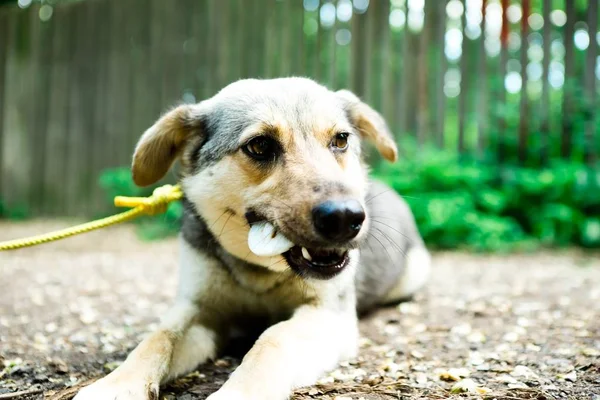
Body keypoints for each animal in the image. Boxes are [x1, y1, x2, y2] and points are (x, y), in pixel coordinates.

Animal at [74, 78, 432, 400]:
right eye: (260, 145)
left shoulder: (327, 313)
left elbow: (273, 338)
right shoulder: (199, 308)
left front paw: (240, 391)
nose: (346, 217)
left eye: (341, 140)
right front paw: (117, 384)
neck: (260, 273)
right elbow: (159, 337)